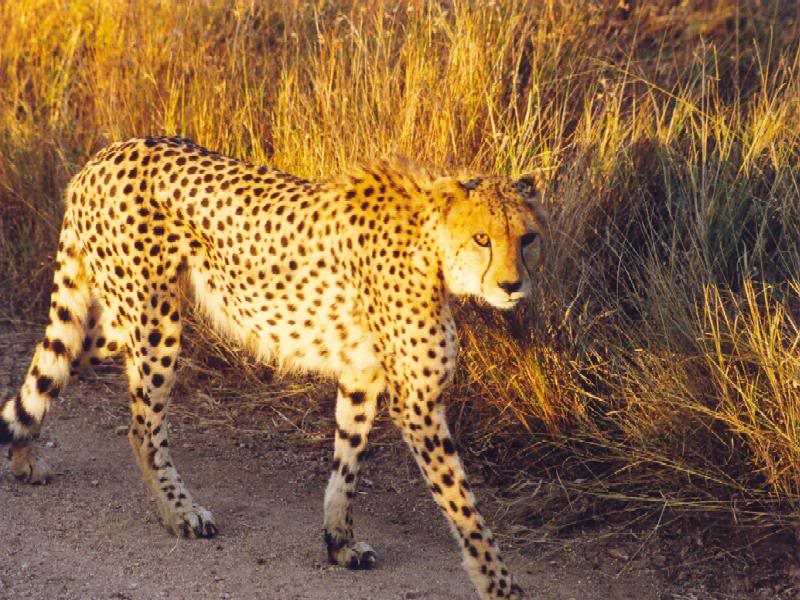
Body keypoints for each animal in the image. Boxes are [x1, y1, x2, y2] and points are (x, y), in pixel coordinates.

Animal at [0, 136, 547, 599]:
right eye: (482, 238)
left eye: (528, 239)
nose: (512, 285)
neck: (431, 246)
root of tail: (104, 155)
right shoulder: (418, 402)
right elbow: (463, 503)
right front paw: (499, 584)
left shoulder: (361, 377)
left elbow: (347, 461)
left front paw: (338, 541)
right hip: (156, 323)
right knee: (141, 428)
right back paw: (179, 513)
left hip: (123, 323)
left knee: (56, 363)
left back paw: (23, 454)